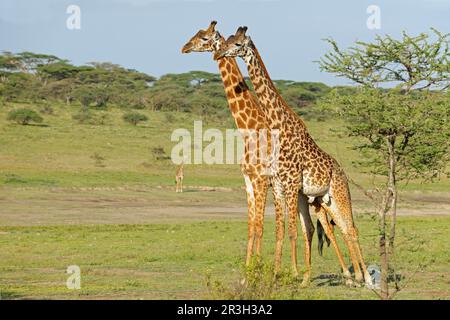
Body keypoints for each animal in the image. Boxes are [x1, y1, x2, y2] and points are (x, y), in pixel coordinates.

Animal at [215, 26, 372, 288]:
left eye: (237, 44)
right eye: (226, 40)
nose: (219, 54)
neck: (279, 126)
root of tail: (342, 172)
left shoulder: (289, 185)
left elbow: (292, 231)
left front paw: (287, 276)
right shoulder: (279, 186)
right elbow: (283, 231)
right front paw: (280, 276)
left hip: (339, 194)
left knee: (351, 228)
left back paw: (366, 279)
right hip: (325, 199)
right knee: (341, 228)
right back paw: (354, 276)